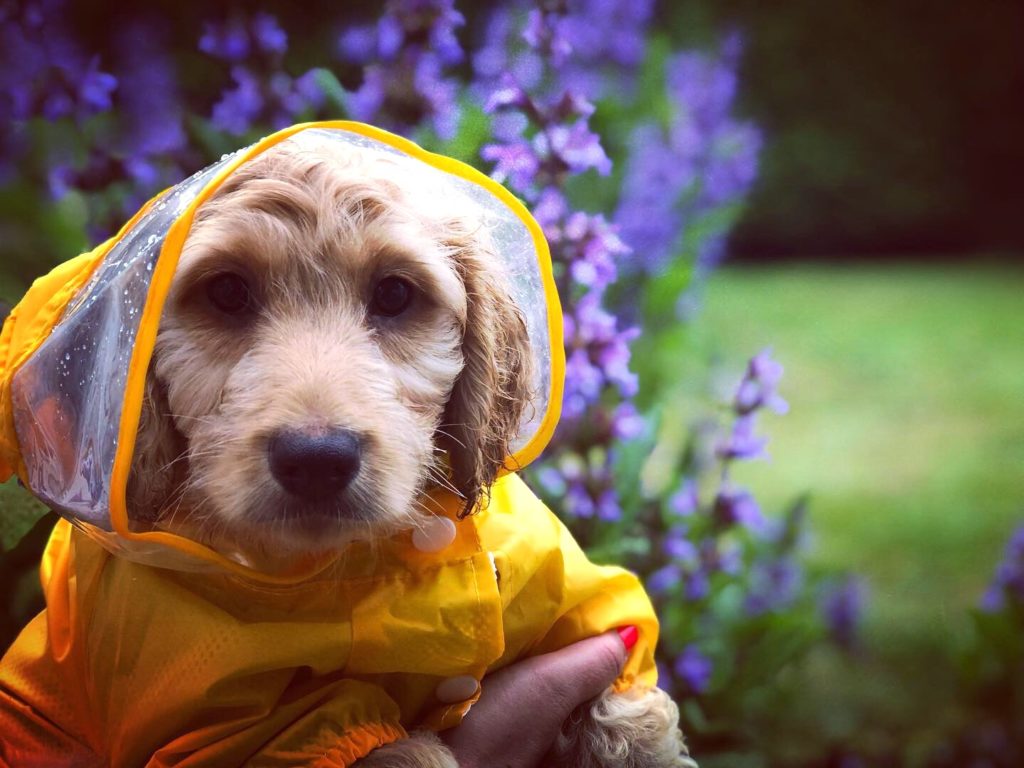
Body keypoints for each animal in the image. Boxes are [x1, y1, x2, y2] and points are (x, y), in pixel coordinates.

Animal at [119, 135, 692, 765]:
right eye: (226, 292)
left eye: (394, 294)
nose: (316, 460)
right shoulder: (241, 728)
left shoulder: (588, 610)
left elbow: (628, 707)